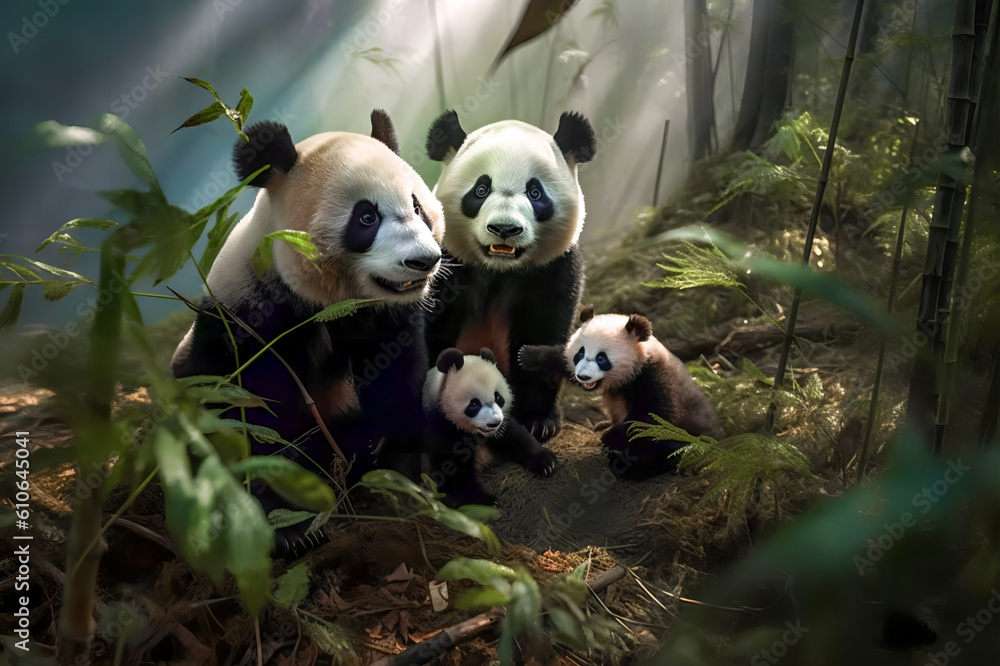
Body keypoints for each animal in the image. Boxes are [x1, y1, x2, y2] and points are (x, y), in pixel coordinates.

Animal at [171, 110, 444, 543]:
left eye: (417, 206)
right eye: (366, 217)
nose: (423, 261)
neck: (325, 301)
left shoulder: (382, 316)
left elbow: (396, 382)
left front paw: (403, 471)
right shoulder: (250, 320)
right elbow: (254, 416)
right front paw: (291, 527)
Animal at [422, 347, 556, 507]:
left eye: (498, 397)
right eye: (474, 403)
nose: (494, 423)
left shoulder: (504, 423)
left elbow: (516, 436)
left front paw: (546, 462)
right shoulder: (440, 426)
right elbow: (452, 469)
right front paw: (484, 501)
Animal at [423, 110, 597, 457]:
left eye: (535, 192)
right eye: (480, 190)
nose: (504, 228)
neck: (498, 270)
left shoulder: (553, 269)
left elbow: (541, 337)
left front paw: (538, 420)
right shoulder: (446, 265)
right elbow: (433, 332)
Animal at [521, 306, 724, 480]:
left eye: (601, 358)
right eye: (579, 354)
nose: (583, 376)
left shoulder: (654, 379)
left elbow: (650, 419)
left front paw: (611, 437)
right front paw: (531, 355)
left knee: (668, 450)